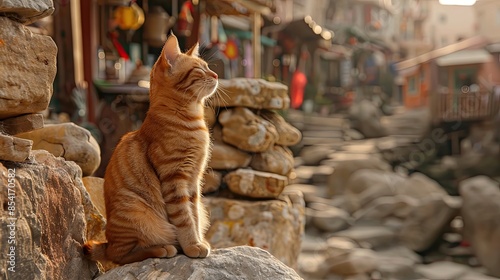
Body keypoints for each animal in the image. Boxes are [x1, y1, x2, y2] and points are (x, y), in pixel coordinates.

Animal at [83, 34, 218, 264]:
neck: (191, 120)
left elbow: (195, 215)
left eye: (208, 67)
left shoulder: (193, 181)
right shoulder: (175, 179)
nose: (216, 75)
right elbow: (185, 219)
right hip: (137, 211)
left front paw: (199, 241)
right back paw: (163, 248)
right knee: (120, 255)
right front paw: (192, 245)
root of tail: (107, 242)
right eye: (200, 70)